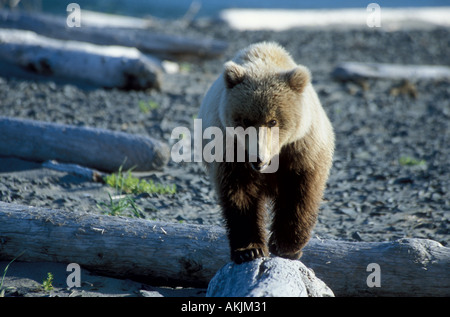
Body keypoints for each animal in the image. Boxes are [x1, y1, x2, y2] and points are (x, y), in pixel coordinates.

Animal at [197, 42, 334, 264]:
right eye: (245, 120)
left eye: (273, 121)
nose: (258, 159)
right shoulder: (231, 150)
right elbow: (240, 196)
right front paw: (249, 249)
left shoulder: (301, 149)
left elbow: (299, 194)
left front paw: (286, 246)